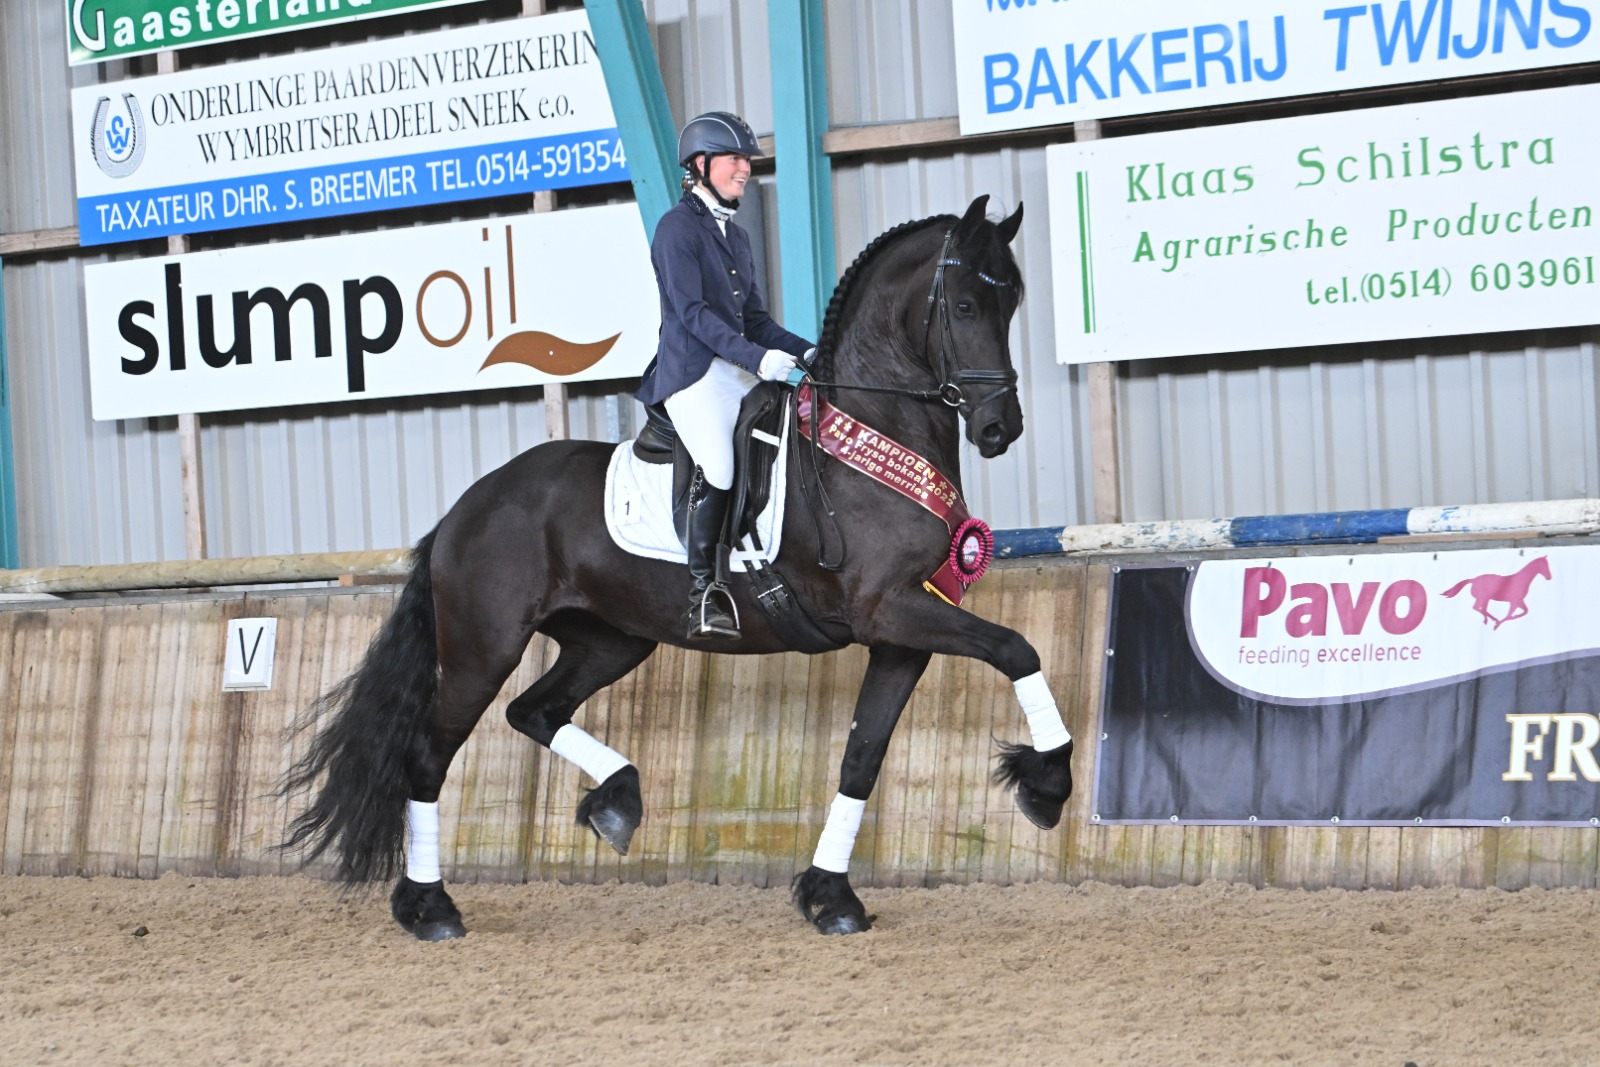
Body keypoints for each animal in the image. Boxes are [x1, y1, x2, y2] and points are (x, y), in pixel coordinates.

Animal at [278, 195, 1075, 940]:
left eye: (1011, 301)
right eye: (965, 304)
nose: (1000, 428)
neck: (873, 429)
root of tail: (463, 510)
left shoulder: (902, 632)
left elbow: (862, 758)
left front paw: (831, 897)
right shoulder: (893, 609)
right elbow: (1017, 648)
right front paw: (1047, 783)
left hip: (610, 640)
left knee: (533, 711)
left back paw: (616, 802)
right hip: (484, 646)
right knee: (428, 756)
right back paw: (430, 906)